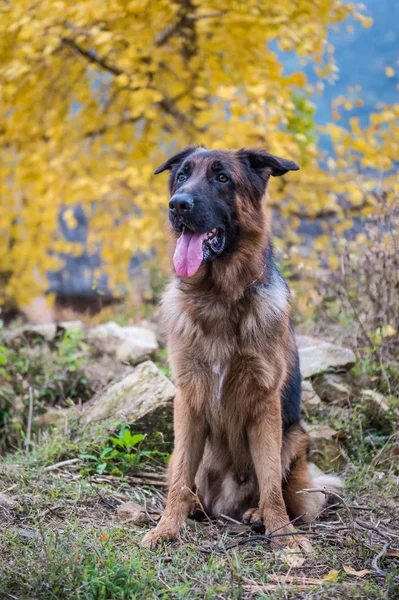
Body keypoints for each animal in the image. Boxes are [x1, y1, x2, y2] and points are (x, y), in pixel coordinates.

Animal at [142, 145, 342, 548]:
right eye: (182, 176)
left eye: (222, 178)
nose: (178, 205)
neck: (218, 298)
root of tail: (223, 503)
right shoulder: (188, 402)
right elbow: (180, 479)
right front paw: (166, 528)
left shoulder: (264, 405)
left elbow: (270, 482)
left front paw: (283, 534)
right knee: (186, 480)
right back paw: (195, 506)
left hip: (295, 437)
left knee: (283, 488)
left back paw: (256, 514)